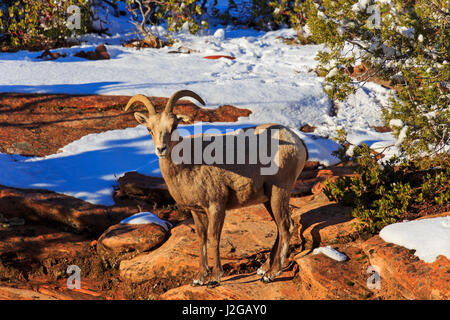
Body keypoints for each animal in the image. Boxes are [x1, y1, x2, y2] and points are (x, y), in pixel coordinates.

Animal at [125, 90, 308, 288]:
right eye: (149, 129)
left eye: (173, 126)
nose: (161, 149)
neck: (188, 165)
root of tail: (297, 142)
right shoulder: (197, 211)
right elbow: (201, 238)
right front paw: (199, 278)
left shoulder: (216, 206)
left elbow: (214, 237)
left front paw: (214, 278)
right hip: (268, 199)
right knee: (279, 227)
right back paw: (263, 269)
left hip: (279, 192)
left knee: (286, 227)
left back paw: (271, 275)